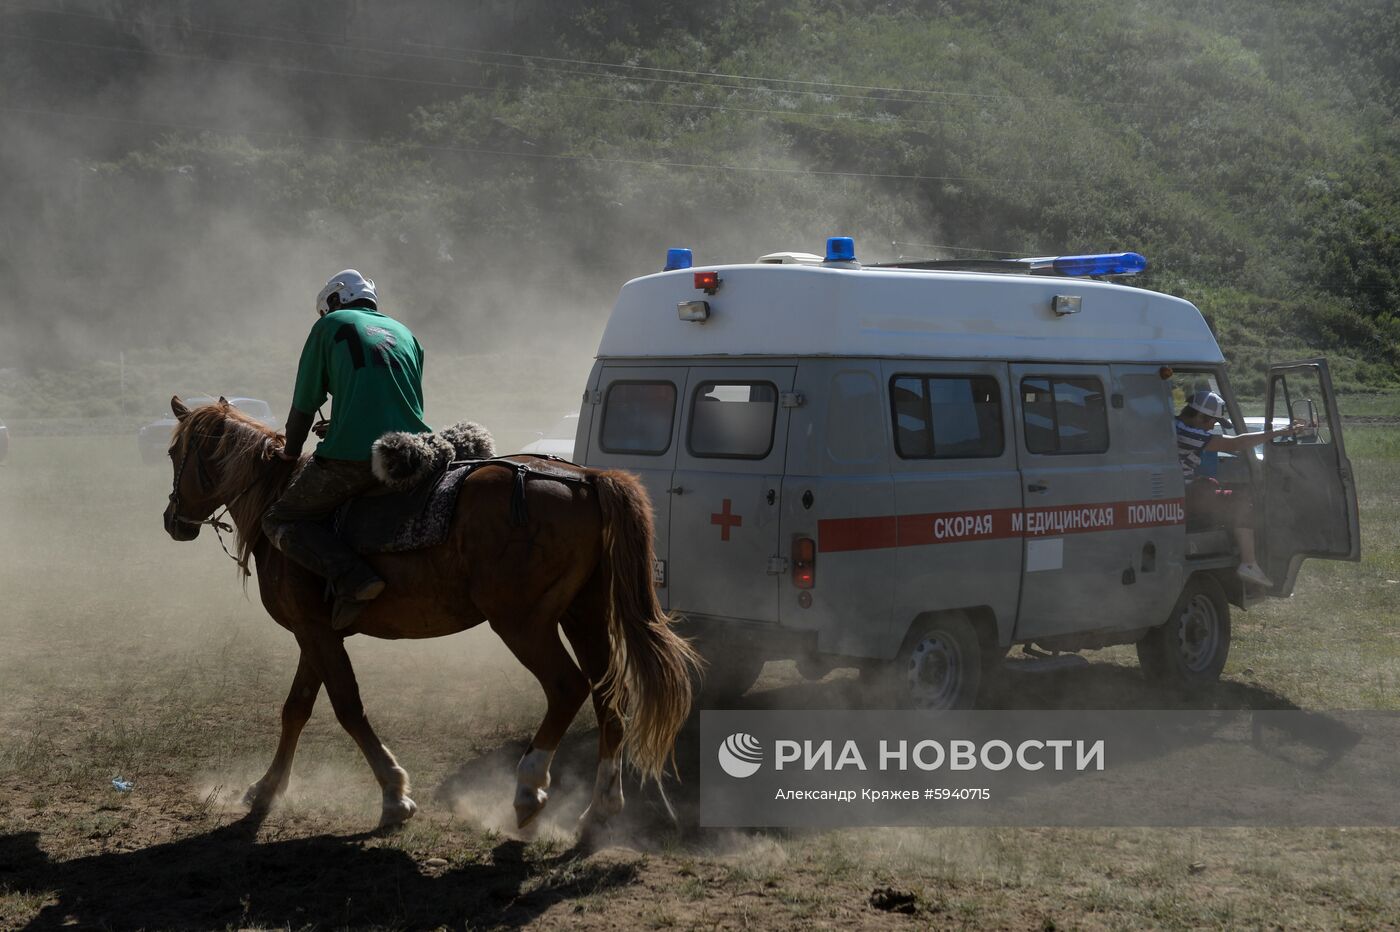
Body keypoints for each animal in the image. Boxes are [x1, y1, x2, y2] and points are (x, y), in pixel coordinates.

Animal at [162, 394, 700, 828]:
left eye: (173, 453)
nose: (172, 520)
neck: (277, 502)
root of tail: (585, 479)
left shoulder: (314, 632)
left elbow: (347, 707)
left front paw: (394, 794)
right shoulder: (314, 633)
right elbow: (296, 708)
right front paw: (267, 788)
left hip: (523, 623)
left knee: (567, 688)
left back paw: (529, 788)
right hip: (583, 615)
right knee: (610, 696)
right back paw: (601, 806)